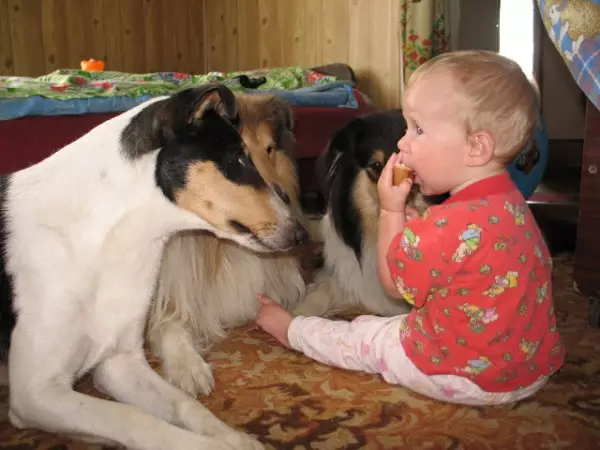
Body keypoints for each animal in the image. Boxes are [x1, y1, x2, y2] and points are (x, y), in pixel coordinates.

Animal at [144, 92, 304, 398]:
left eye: (269, 149)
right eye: (239, 157)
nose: (283, 198)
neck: (226, 247)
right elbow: (170, 326)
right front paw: (189, 368)